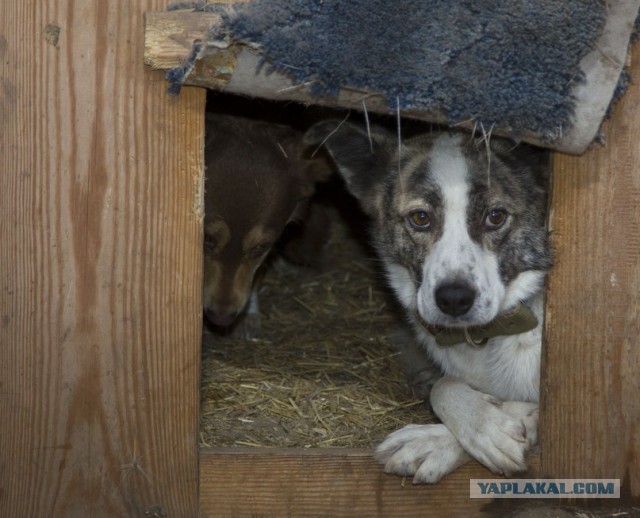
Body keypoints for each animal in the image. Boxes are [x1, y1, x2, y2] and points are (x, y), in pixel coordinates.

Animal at [308, 120, 552, 486]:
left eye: (496, 216)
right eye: (420, 218)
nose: (454, 299)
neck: (484, 338)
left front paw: (487, 429)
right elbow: (443, 385)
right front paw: (481, 424)